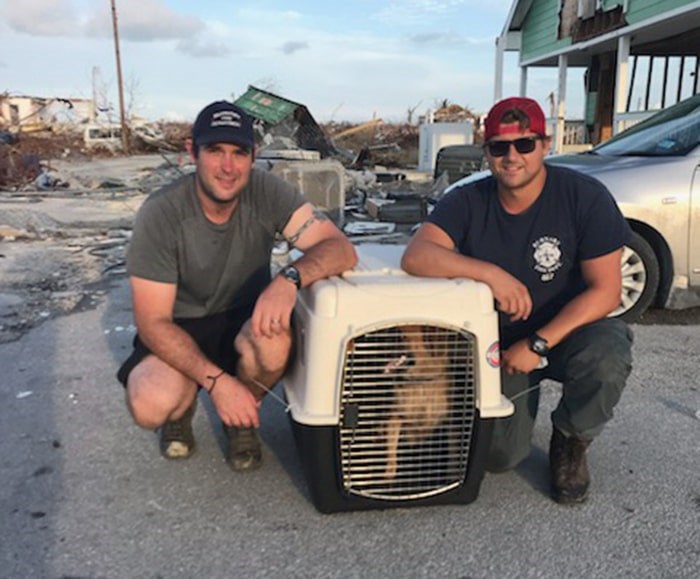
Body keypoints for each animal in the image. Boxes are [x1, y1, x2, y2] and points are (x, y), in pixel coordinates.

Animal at [338, 324, 476, 500]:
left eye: (402, 336)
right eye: (390, 331)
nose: (378, 345)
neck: (420, 382)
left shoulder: (451, 423)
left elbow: (453, 453)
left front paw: (451, 476)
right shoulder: (394, 419)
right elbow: (392, 450)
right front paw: (389, 473)